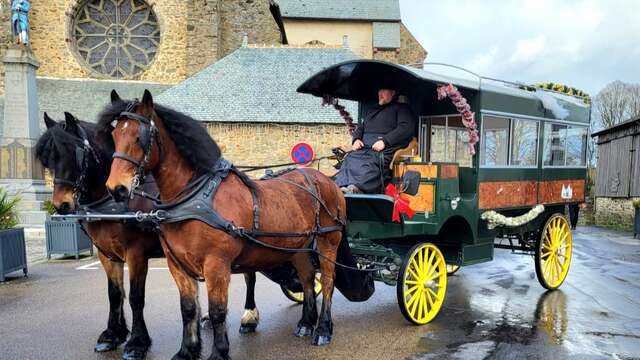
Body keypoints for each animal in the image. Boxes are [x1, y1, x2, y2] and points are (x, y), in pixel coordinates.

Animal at [101, 90, 344, 360]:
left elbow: (217, 310)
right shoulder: (177, 264)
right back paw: (306, 323)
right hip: (298, 248)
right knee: (307, 278)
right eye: (114, 135)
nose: (116, 188)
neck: (194, 198)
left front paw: (219, 352)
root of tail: (324, 179)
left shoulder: (216, 265)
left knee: (328, 281)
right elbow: (188, 308)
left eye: (139, 137)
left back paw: (322, 329)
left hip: (328, 243)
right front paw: (186, 351)